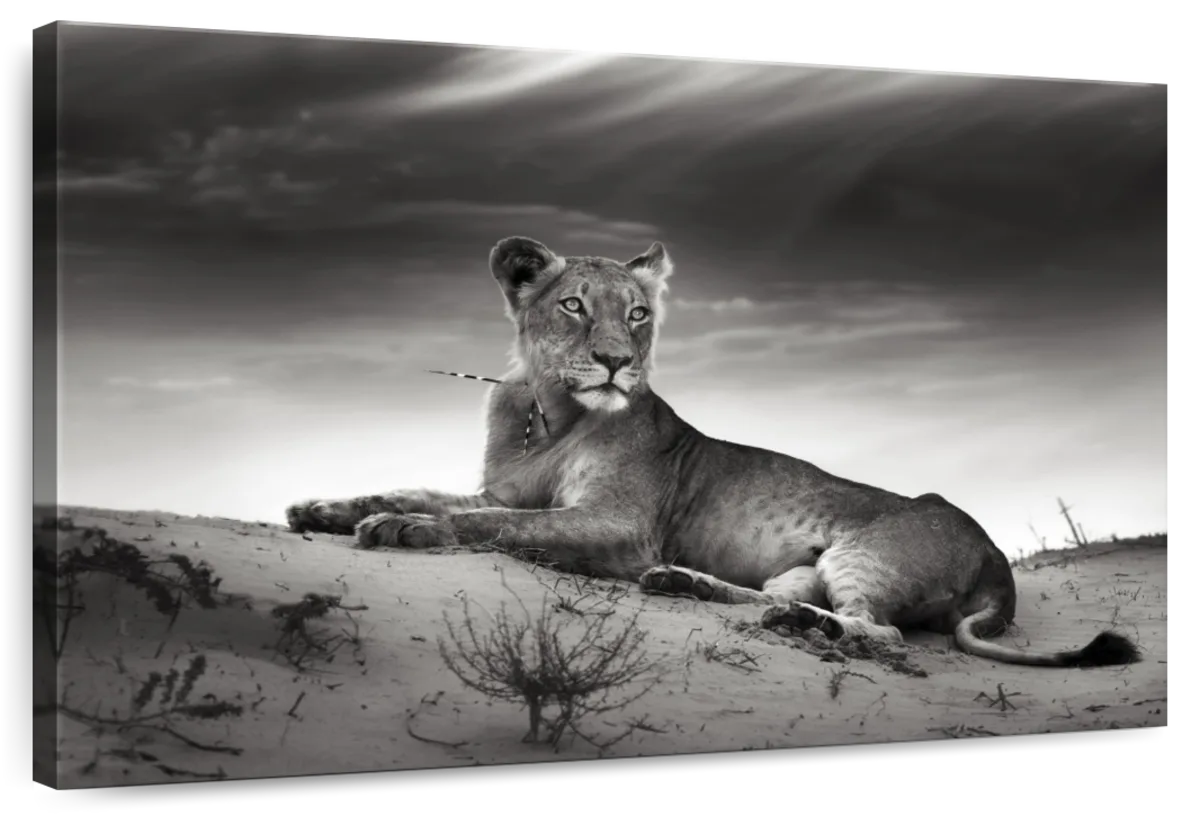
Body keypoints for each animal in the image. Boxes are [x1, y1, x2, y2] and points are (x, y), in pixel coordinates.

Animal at [287, 236, 1139, 669]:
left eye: (637, 315)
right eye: (573, 306)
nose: (615, 363)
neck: (550, 413)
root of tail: (997, 557)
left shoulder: (620, 526)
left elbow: (487, 527)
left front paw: (404, 530)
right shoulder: (507, 491)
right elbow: (424, 490)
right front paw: (327, 507)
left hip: (865, 553)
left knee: (881, 632)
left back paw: (803, 628)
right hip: (804, 563)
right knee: (778, 597)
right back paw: (690, 586)